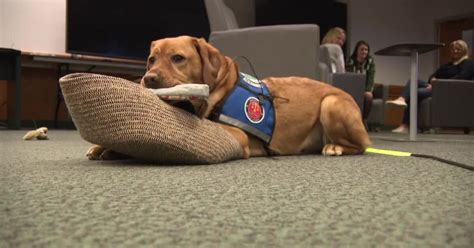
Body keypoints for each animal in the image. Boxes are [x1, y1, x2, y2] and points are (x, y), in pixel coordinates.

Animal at [137, 35, 370, 158]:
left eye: (178, 58)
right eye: (151, 60)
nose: (148, 78)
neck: (224, 90)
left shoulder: (238, 134)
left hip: (331, 103)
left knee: (361, 146)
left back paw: (336, 146)